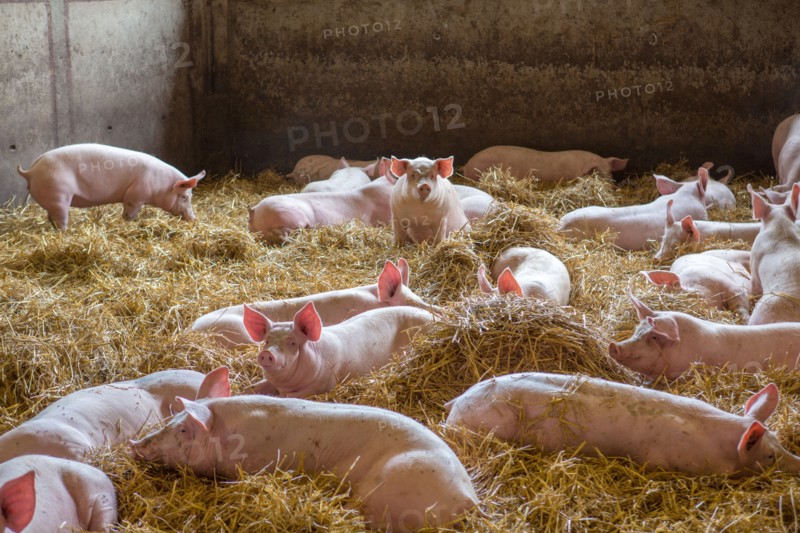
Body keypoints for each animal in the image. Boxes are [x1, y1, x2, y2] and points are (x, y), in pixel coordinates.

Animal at [17, 143, 205, 229]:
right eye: (184, 196)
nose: (194, 218)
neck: (161, 184)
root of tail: (31, 171)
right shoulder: (134, 196)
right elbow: (129, 212)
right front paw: (126, 222)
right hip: (59, 196)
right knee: (61, 218)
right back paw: (66, 231)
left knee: (51, 217)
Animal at [243, 302, 434, 397]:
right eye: (267, 341)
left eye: (292, 343)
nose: (267, 353)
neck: (285, 387)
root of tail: (433, 317)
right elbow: (253, 387)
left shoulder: (321, 385)